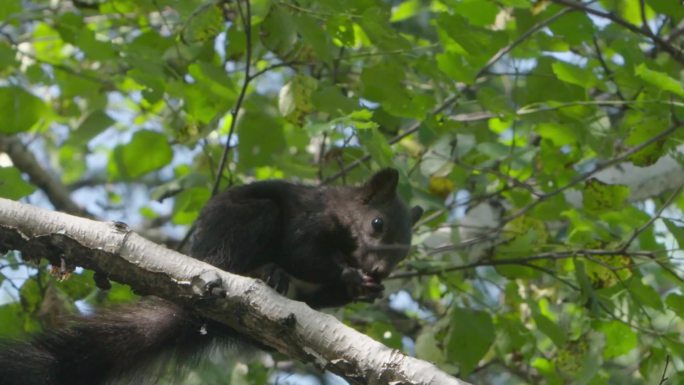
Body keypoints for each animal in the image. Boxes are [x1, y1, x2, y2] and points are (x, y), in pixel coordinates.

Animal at [0, 168, 422, 384]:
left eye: (406, 251)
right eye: (377, 224)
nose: (379, 271)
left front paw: (367, 288)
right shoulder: (309, 220)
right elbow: (304, 254)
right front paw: (351, 275)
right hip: (246, 225)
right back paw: (264, 273)